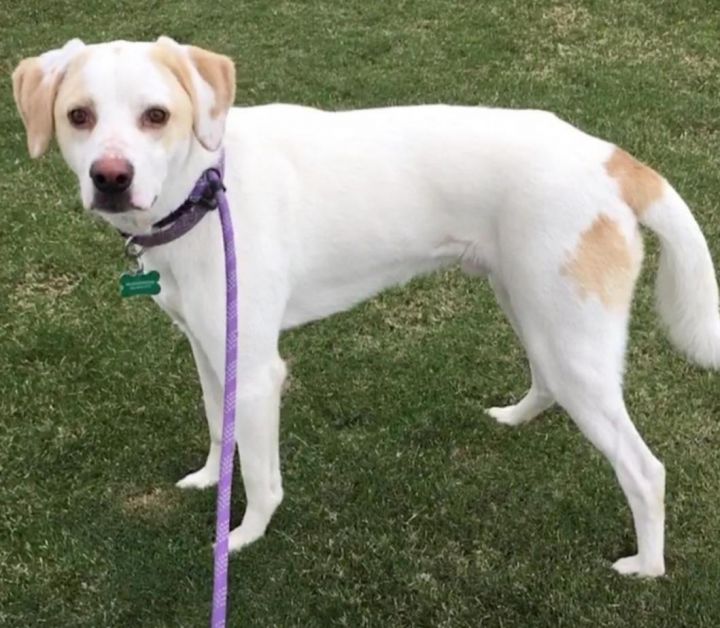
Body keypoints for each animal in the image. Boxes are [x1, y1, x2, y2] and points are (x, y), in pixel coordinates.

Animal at [11, 34, 720, 576]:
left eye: (156, 116)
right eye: (79, 116)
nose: (110, 178)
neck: (206, 188)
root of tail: (612, 160)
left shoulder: (259, 371)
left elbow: (261, 475)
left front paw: (241, 537)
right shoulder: (210, 348)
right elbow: (219, 428)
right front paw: (210, 480)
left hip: (570, 337)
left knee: (645, 470)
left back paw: (646, 567)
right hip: (533, 308)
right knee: (544, 380)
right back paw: (516, 416)